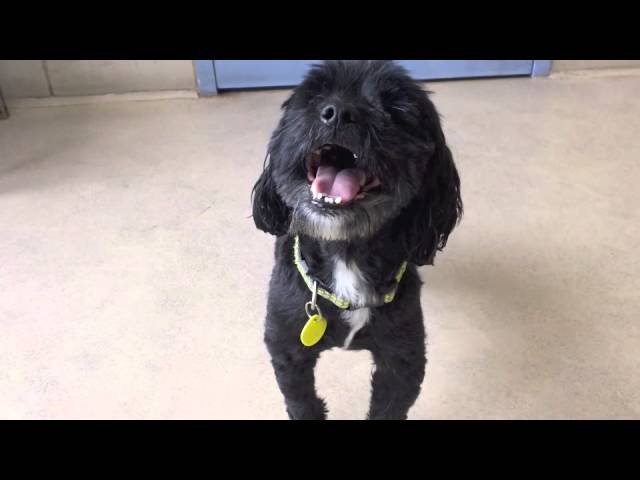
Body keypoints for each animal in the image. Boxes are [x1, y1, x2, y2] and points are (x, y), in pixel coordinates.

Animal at [252, 61, 462, 420]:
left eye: (395, 110)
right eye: (314, 96)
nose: (338, 112)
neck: (345, 252)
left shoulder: (403, 358)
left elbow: (389, 406)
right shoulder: (287, 346)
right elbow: (301, 401)